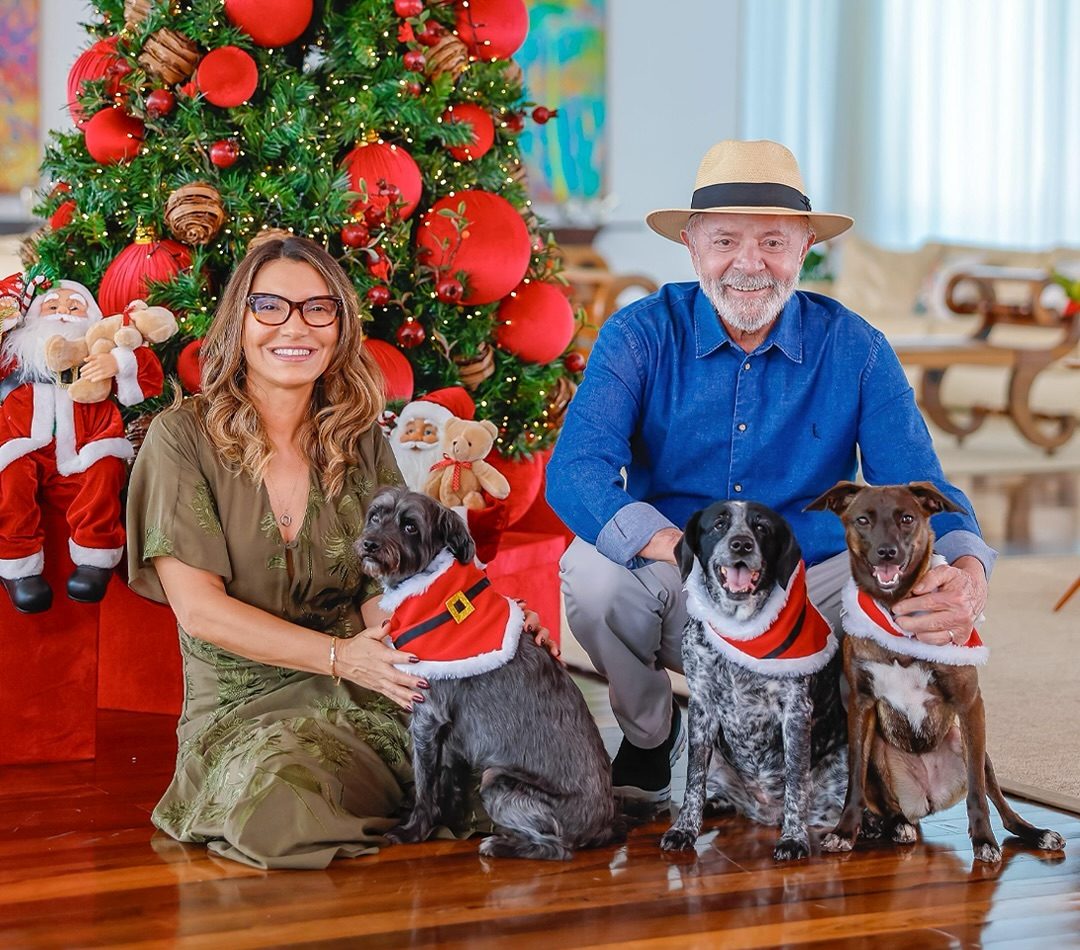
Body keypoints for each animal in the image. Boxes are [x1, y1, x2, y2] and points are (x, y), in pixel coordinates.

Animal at [358, 490, 622, 859]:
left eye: (410, 526)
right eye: (375, 517)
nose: (369, 544)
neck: (433, 591)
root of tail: (603, 825)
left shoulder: (427, 716)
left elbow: (425, 782)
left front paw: (413, 830)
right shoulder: (450, 736)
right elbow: (447, 780)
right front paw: (450, 821)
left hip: (498, 779)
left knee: (555, 848)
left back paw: (500, 844)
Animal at [656, 500, 851, 863]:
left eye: (761, 528)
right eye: (719, 524)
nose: (741, 544)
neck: (740, 631)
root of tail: (765, 814)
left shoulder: (796, 711)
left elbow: (795, 781)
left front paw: (793, 838)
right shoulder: (702, 707)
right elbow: (693, 781)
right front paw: (684, 829)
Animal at [803, 481, 1062, 859]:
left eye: (907, 518)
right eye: (863, 519)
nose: (887, 553)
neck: (895, 610)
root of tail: (925, 798)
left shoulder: (971, 705)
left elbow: (977, 793)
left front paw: (984, 840)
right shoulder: (860, 706)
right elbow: (854, 781)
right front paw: (844, 831)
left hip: (975, 749)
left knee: (998, 800)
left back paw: (1036, 833)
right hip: (880, 754)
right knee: (889, 804)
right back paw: (894, 825)